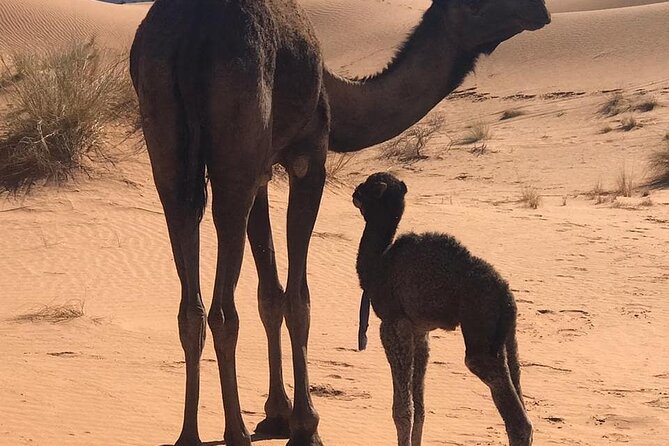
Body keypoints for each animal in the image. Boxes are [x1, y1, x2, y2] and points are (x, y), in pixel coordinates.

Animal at [352, 172, 531, 446]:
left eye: (368, 186)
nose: (354, 192)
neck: (379, 265)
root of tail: (506, 295)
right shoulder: (420, 331)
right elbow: (420, 407)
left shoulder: (393, 323)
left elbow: (402, 410)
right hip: (506, 335)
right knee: (516, 376)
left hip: (481, 322)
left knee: (514, 416)